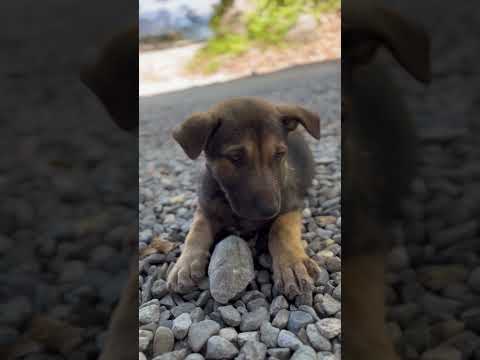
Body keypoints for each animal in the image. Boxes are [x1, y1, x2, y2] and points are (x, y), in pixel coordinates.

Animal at [169, 97, 322, 300]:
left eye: (279, 154)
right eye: (235, 157)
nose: (270, 210)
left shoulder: (291, 205)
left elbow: (281, 229)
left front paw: (291, 264)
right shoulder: (205, 207)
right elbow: (196, 231)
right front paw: (185, 264)